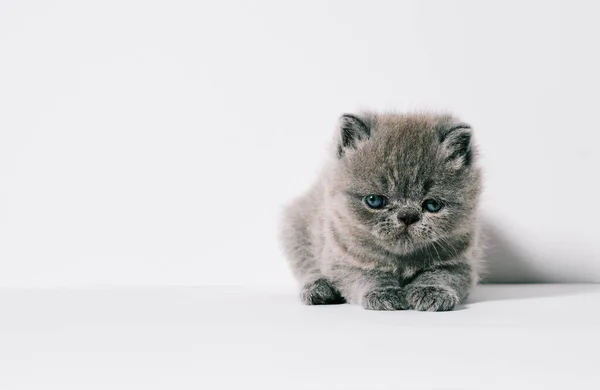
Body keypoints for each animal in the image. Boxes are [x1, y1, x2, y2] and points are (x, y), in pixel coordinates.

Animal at [280, 111, 482, 312]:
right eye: (374, 201)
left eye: (432, 205)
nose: (407, 215)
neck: (401, 261)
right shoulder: (340, 256)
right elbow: (366, 275)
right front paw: (383, 293)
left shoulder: (462, 260)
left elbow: (442, 274)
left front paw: (431, 292)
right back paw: (318, 289)